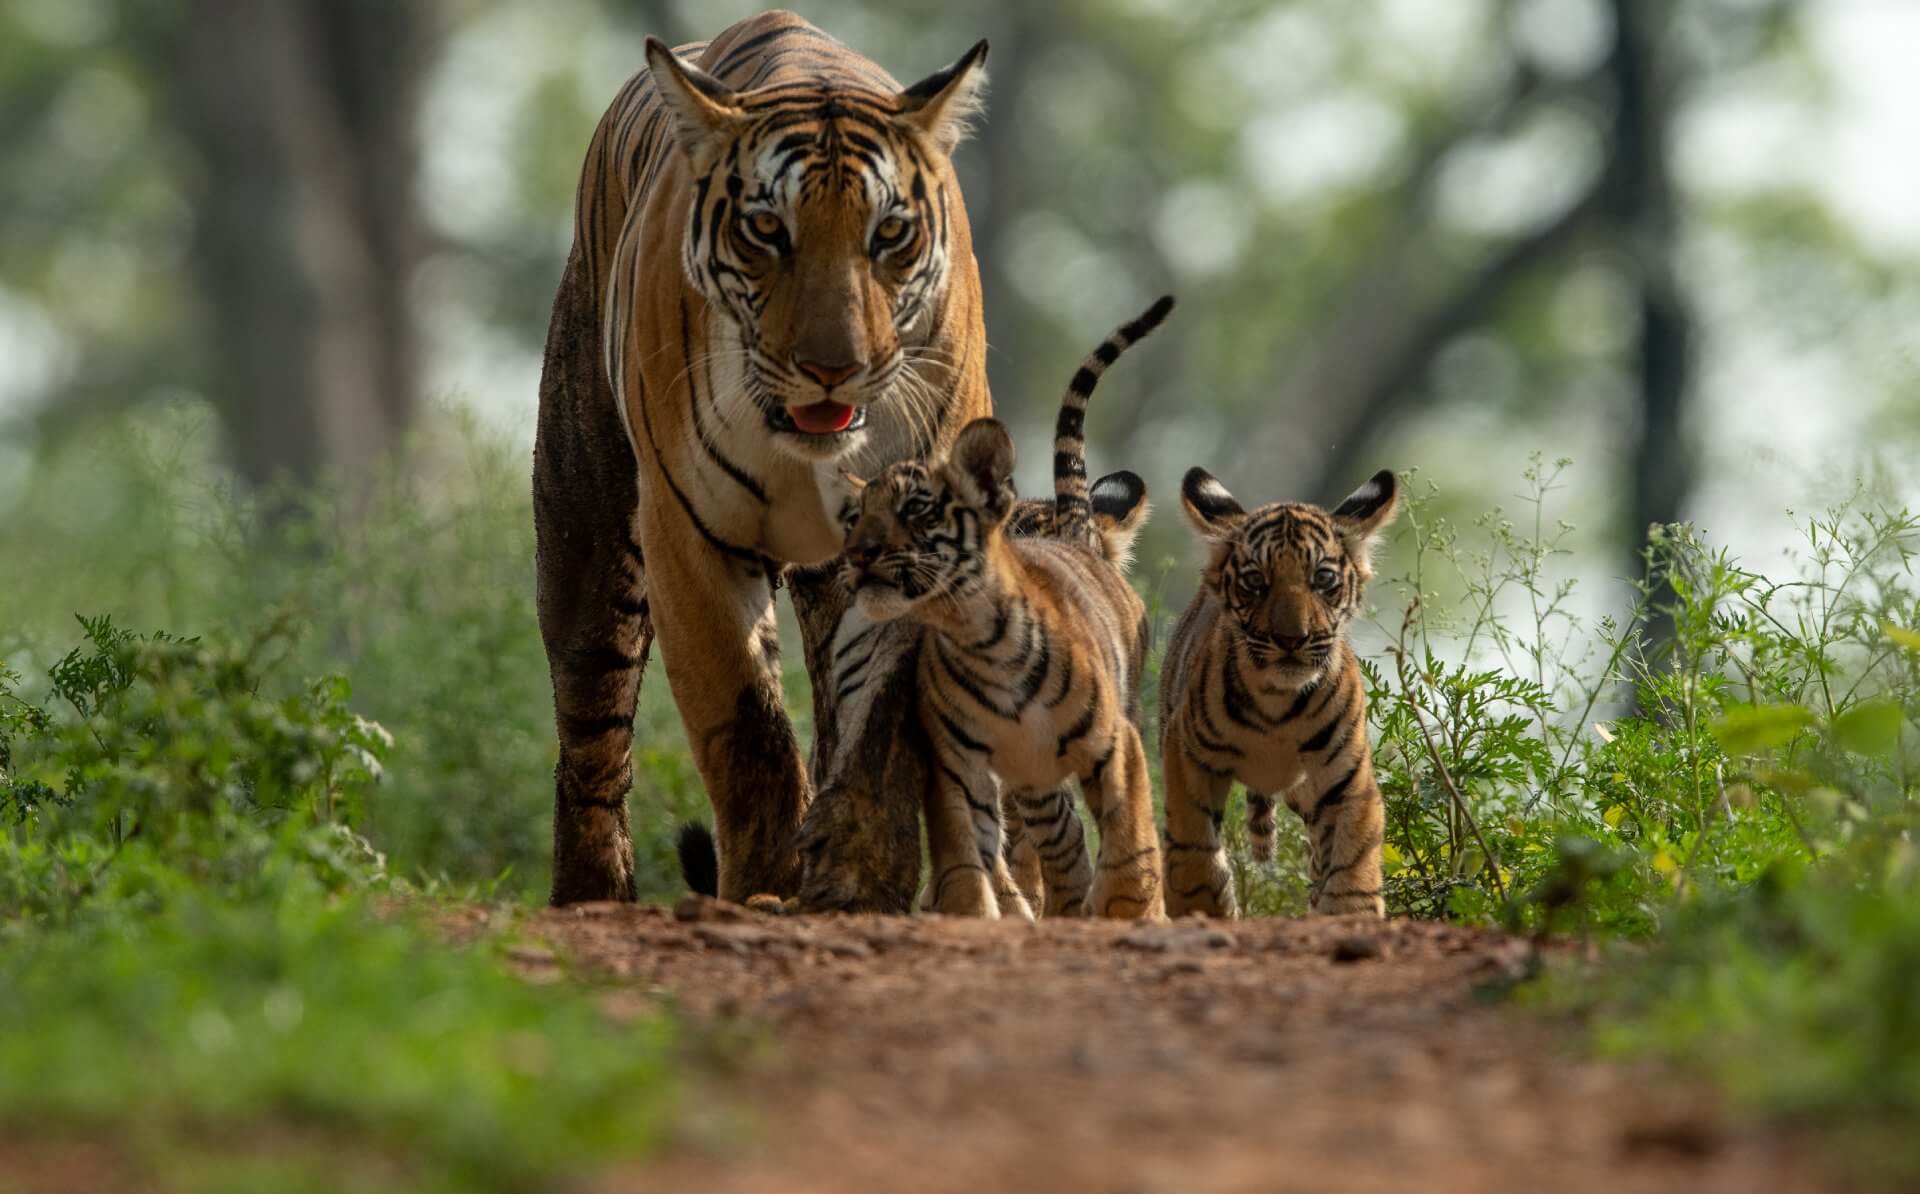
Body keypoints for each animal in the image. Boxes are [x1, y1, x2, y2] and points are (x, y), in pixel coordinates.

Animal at [537, 11, 998, 906]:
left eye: (889, 234)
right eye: (766, 230)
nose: (833, 367)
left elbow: (877, 718)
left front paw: (856, 881)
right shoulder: (690, 534)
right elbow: (748, 728)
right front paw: (764, 883)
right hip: (588, 532)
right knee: (592, 725)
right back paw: (592, 894)